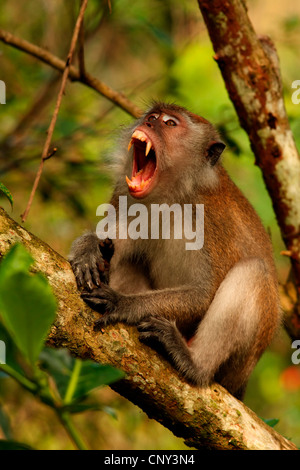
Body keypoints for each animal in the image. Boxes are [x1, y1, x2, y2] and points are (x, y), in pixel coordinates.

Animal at [68, 103, 282, 400]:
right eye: (153, 117)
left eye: (169, 123)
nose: (149, 122)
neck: (171, 196)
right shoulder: (126, 197)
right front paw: (89, 247)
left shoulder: (209, 220)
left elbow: (203, 293)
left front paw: (124, 303)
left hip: (238, 366)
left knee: (253, 272)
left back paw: (194, 363)